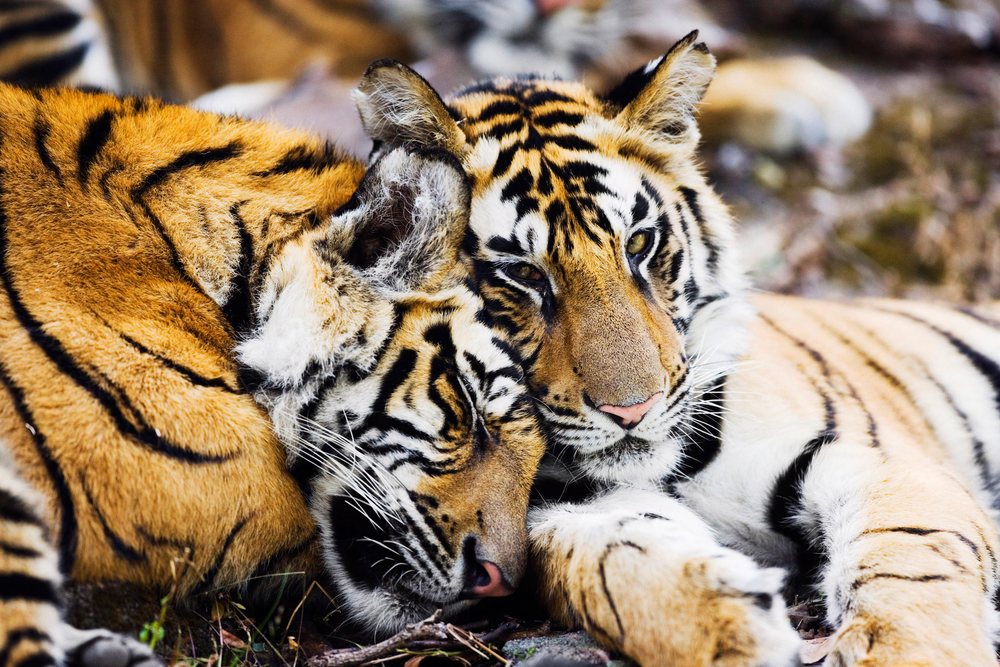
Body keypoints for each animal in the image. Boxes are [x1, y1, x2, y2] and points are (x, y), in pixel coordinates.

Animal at [351, 34, 1000, 666]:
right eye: (522, 274)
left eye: (639, 244)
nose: (632, 411)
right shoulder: (563, 510)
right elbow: (610, 566)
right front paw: (732, 629)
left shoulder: (878, 461)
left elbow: (913, 564)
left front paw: (914, 650)